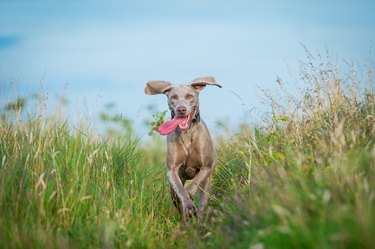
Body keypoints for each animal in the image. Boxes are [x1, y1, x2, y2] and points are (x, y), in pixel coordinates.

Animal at [143, 77, 220, 221]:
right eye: (173, 97)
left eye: (190, 96)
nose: (181, 109)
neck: (187, 133)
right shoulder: (172, 171)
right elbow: (180, 191)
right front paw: (188, 204)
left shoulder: (206, 168)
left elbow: (192, 186)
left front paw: (190, 200)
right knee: (176, 197)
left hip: (206, 184)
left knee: (202, 202)